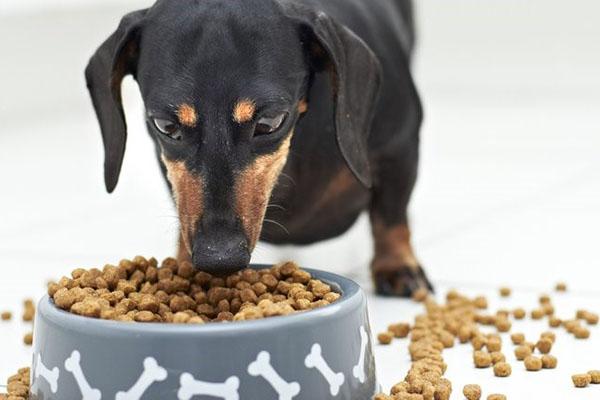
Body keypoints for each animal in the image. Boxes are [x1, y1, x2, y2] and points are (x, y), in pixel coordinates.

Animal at [84, 0, 432, 296]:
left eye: (270, 121)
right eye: (166, 126)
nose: (218, 258)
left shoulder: (399, 148)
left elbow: (391, 215)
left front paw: (397, 266)